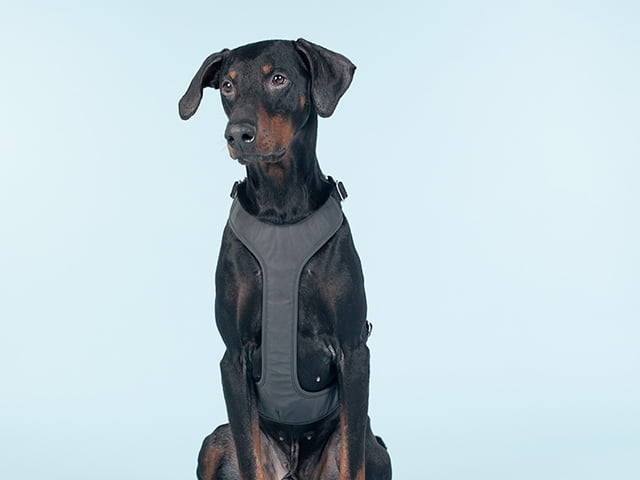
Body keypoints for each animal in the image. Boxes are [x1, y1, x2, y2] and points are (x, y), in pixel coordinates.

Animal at [179, 38, 391, 480]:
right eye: (227, 85)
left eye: (278, 78)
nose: (237, 134)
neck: (281, 208)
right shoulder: (233, 358)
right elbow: (249, 458)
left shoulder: (353, 351)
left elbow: (352, 464)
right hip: (214, 441)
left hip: (375, 446)